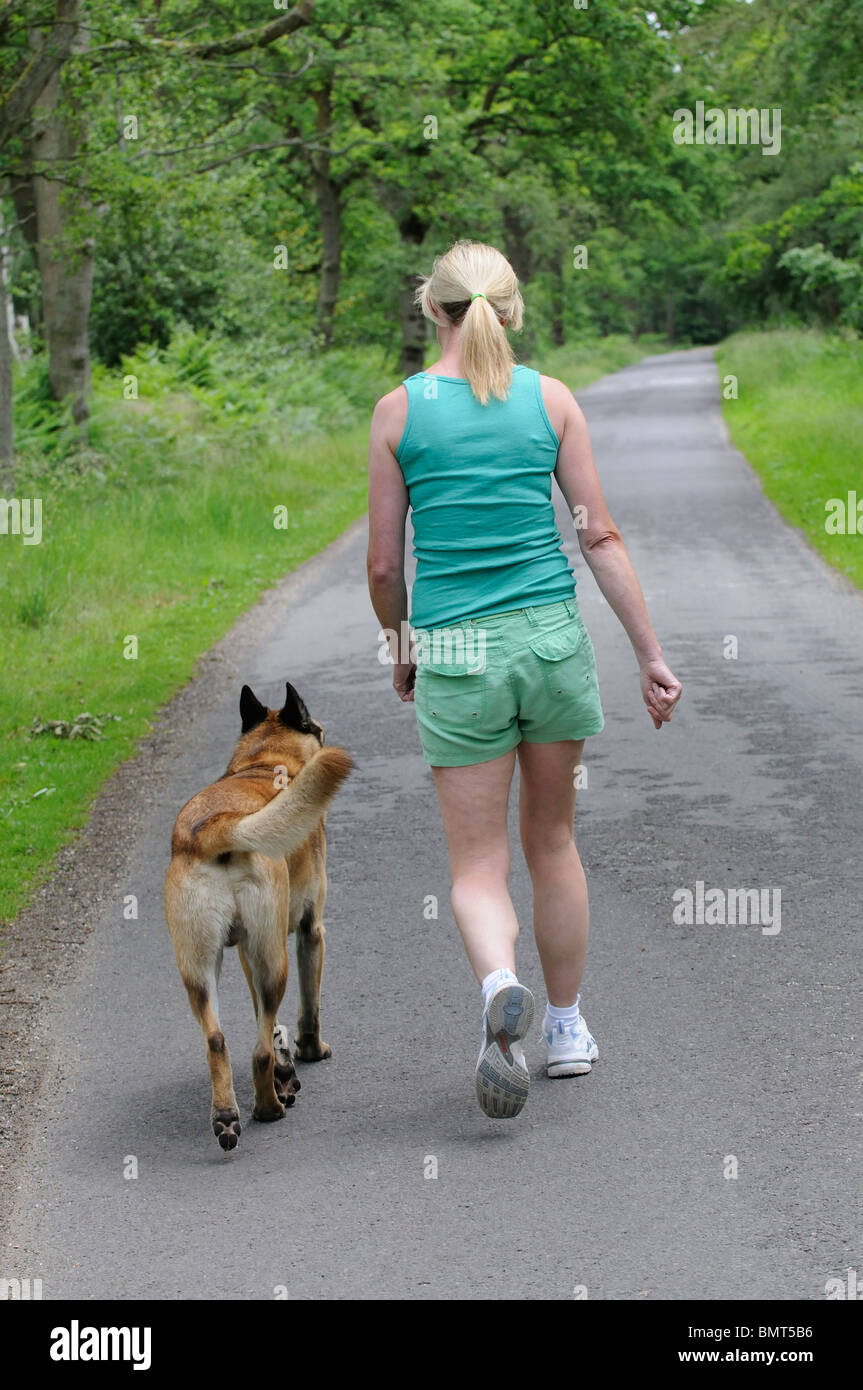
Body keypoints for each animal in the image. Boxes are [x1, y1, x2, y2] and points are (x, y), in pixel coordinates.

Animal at [163, 683, 351, 1150]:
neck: (264, 762)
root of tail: (221, 824)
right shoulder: (309, 932)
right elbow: (307, 1009)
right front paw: (309, 1051)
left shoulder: (248, 955)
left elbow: (264, 1020)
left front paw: (289, 1068)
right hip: (275, 962)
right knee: (261, 1051)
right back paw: (268, 1108)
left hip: (202, 970)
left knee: (218, 1040)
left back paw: (227, 1115)